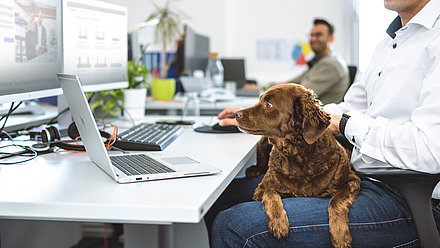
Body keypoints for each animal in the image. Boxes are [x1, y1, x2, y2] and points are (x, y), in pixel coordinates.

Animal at [235, 84, 360, 248]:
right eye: (259, 99)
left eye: (268, 104)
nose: (236, 113)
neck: (298, 157)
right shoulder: (259, 191)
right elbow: (270, 192)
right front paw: (279, 224)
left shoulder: (353, 181)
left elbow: (335, 200)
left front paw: (340, 235)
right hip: (263, 142)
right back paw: (253, 170)